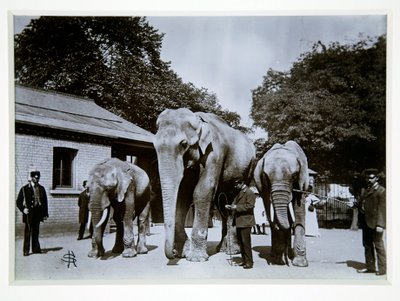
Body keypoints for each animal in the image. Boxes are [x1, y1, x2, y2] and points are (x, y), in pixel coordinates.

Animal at [154, 107, 256, 260]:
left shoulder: (214, 152)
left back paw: (232, 251)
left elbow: (202, 191)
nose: (173, 253)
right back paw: (223, 249)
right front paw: (184, 252)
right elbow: (183, 195)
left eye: (183, 144)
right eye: (154, 145)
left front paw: (196, 258)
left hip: (250, 167)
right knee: (223, 204)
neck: (198, 120)